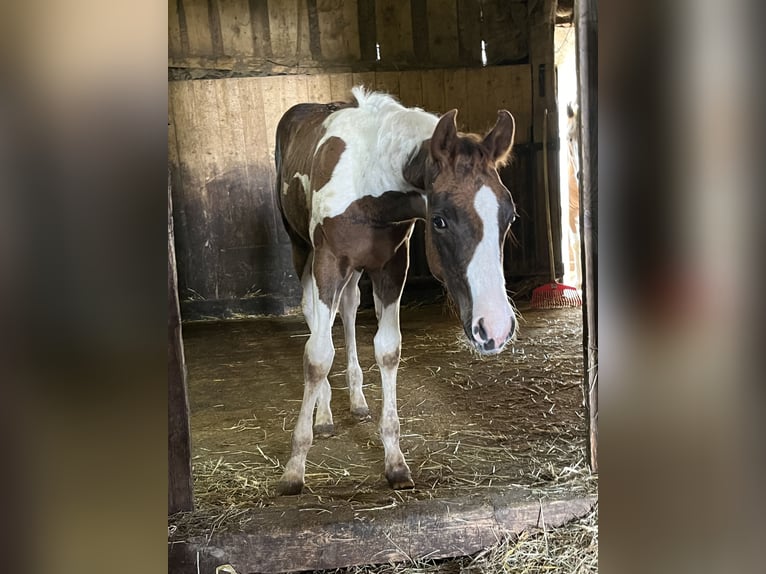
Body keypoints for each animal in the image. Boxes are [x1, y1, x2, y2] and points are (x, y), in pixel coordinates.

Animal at [274, 87, 518, 495]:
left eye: (509, 216)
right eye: (440, 220)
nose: (495, 329)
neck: (369, 183)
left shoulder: (391, 266)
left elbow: (388, 350)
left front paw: (395, 462)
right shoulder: (328, 260)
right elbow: (318, 356)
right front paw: (294, 468)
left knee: (349, 309)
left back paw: (357, 400)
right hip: (300, 249)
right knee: (313, 317)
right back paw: (324, 415)